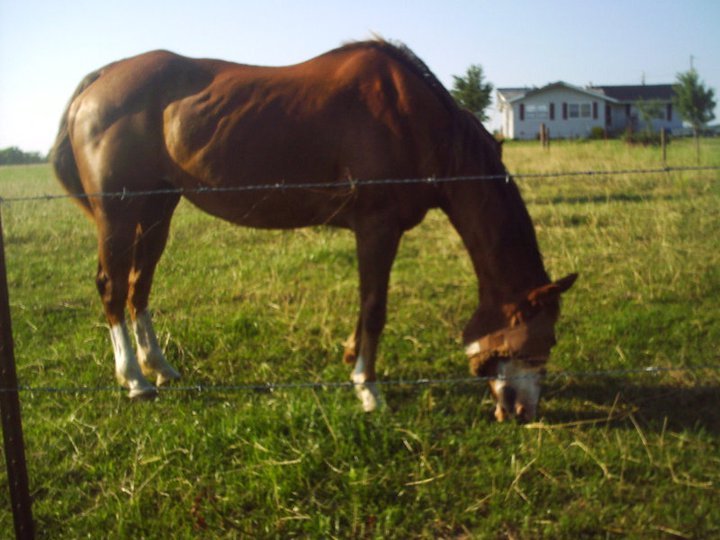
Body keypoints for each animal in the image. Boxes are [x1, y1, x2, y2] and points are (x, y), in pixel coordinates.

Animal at [51, 39, 576, 422]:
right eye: (543, 342)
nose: (523, 412)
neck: (416, 122)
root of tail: (100, 80)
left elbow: (366, 306)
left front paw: (352, 363)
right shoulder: (377, 227)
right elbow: (375, 307)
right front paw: (368, 389)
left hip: (159, 207)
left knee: (139, 285)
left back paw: (160, 369)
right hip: (119, 212)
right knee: (112, 286)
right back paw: (134, 381)